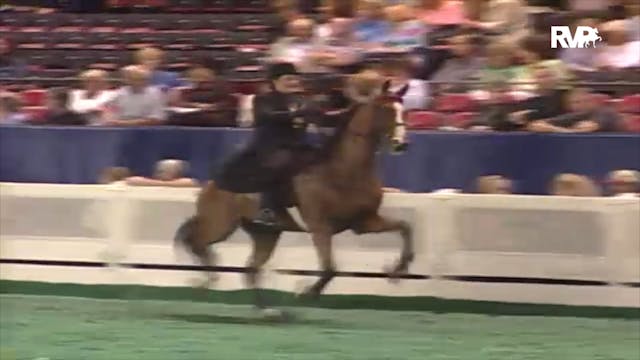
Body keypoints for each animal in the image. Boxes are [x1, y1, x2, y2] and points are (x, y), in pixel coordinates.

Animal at [175, 71, 416, 310]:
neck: (344, 172)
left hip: (265, 233)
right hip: (220, 225)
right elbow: (330, 268)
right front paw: (305, 292)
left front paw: (397, 270)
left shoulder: (364, 222)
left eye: (403, 109)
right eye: (385, 109)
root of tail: (212, 185)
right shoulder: (320, 227)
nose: (400, 144)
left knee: (250, 269)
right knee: (195, 241)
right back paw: (206, 279)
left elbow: (405, 227)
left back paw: (268, 310)